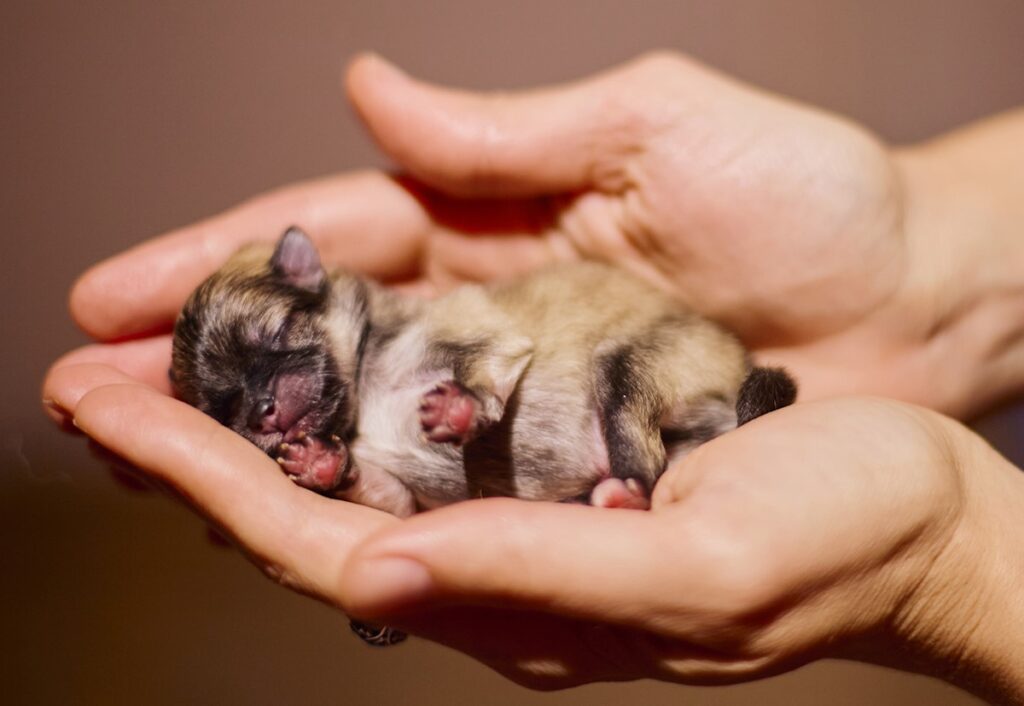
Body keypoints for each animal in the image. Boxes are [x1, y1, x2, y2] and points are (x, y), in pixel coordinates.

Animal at [172, 228, 794, 514]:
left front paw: (457, 406)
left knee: (639, 446)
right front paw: (319, 462)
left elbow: (481, 368)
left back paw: (625, 491)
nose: (263, 409)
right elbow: (381, 491)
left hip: (633, 366)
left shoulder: (485, 335)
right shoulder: (401, 498)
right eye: (224, 409)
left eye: (277, 335)